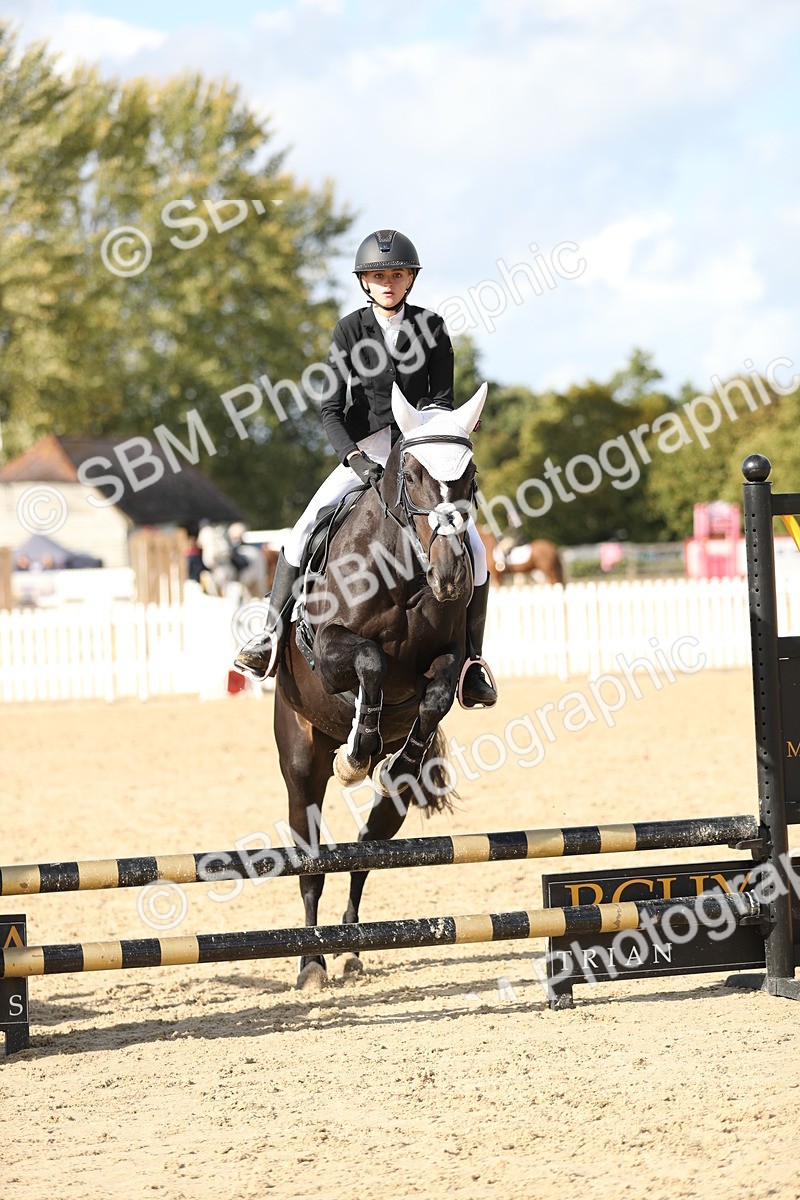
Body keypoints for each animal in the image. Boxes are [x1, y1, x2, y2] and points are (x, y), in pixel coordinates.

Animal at [274, 382, 487, 989]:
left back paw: (348, 946)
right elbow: (369, 660)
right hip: (300, 757)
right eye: (410, 474)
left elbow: (435, 696)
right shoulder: (328, 651)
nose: (451, 576)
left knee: (366, 849)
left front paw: (395, 755)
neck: (404, 573)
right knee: (312, 859)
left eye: (470, 477)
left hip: (388, 808)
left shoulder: (450, 659)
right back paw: (312, 962)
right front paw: (357, 751)